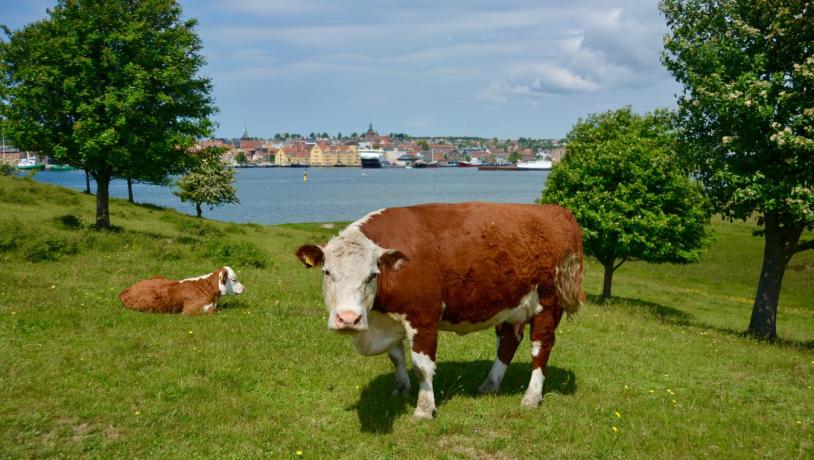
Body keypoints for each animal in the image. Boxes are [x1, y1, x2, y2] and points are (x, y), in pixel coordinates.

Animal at [296, 201, 584, 416]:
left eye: (372, 275)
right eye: (326, 272)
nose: (348, 319)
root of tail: (556, 211)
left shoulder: (423, 316)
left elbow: (422, 365)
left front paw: (424, 409)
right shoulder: (390, 319)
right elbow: (396, 356)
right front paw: (401, 388)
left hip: (548, 303)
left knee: (541, 347)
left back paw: (531, 397)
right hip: (512, 305)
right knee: (508, 342)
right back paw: (490, 384)